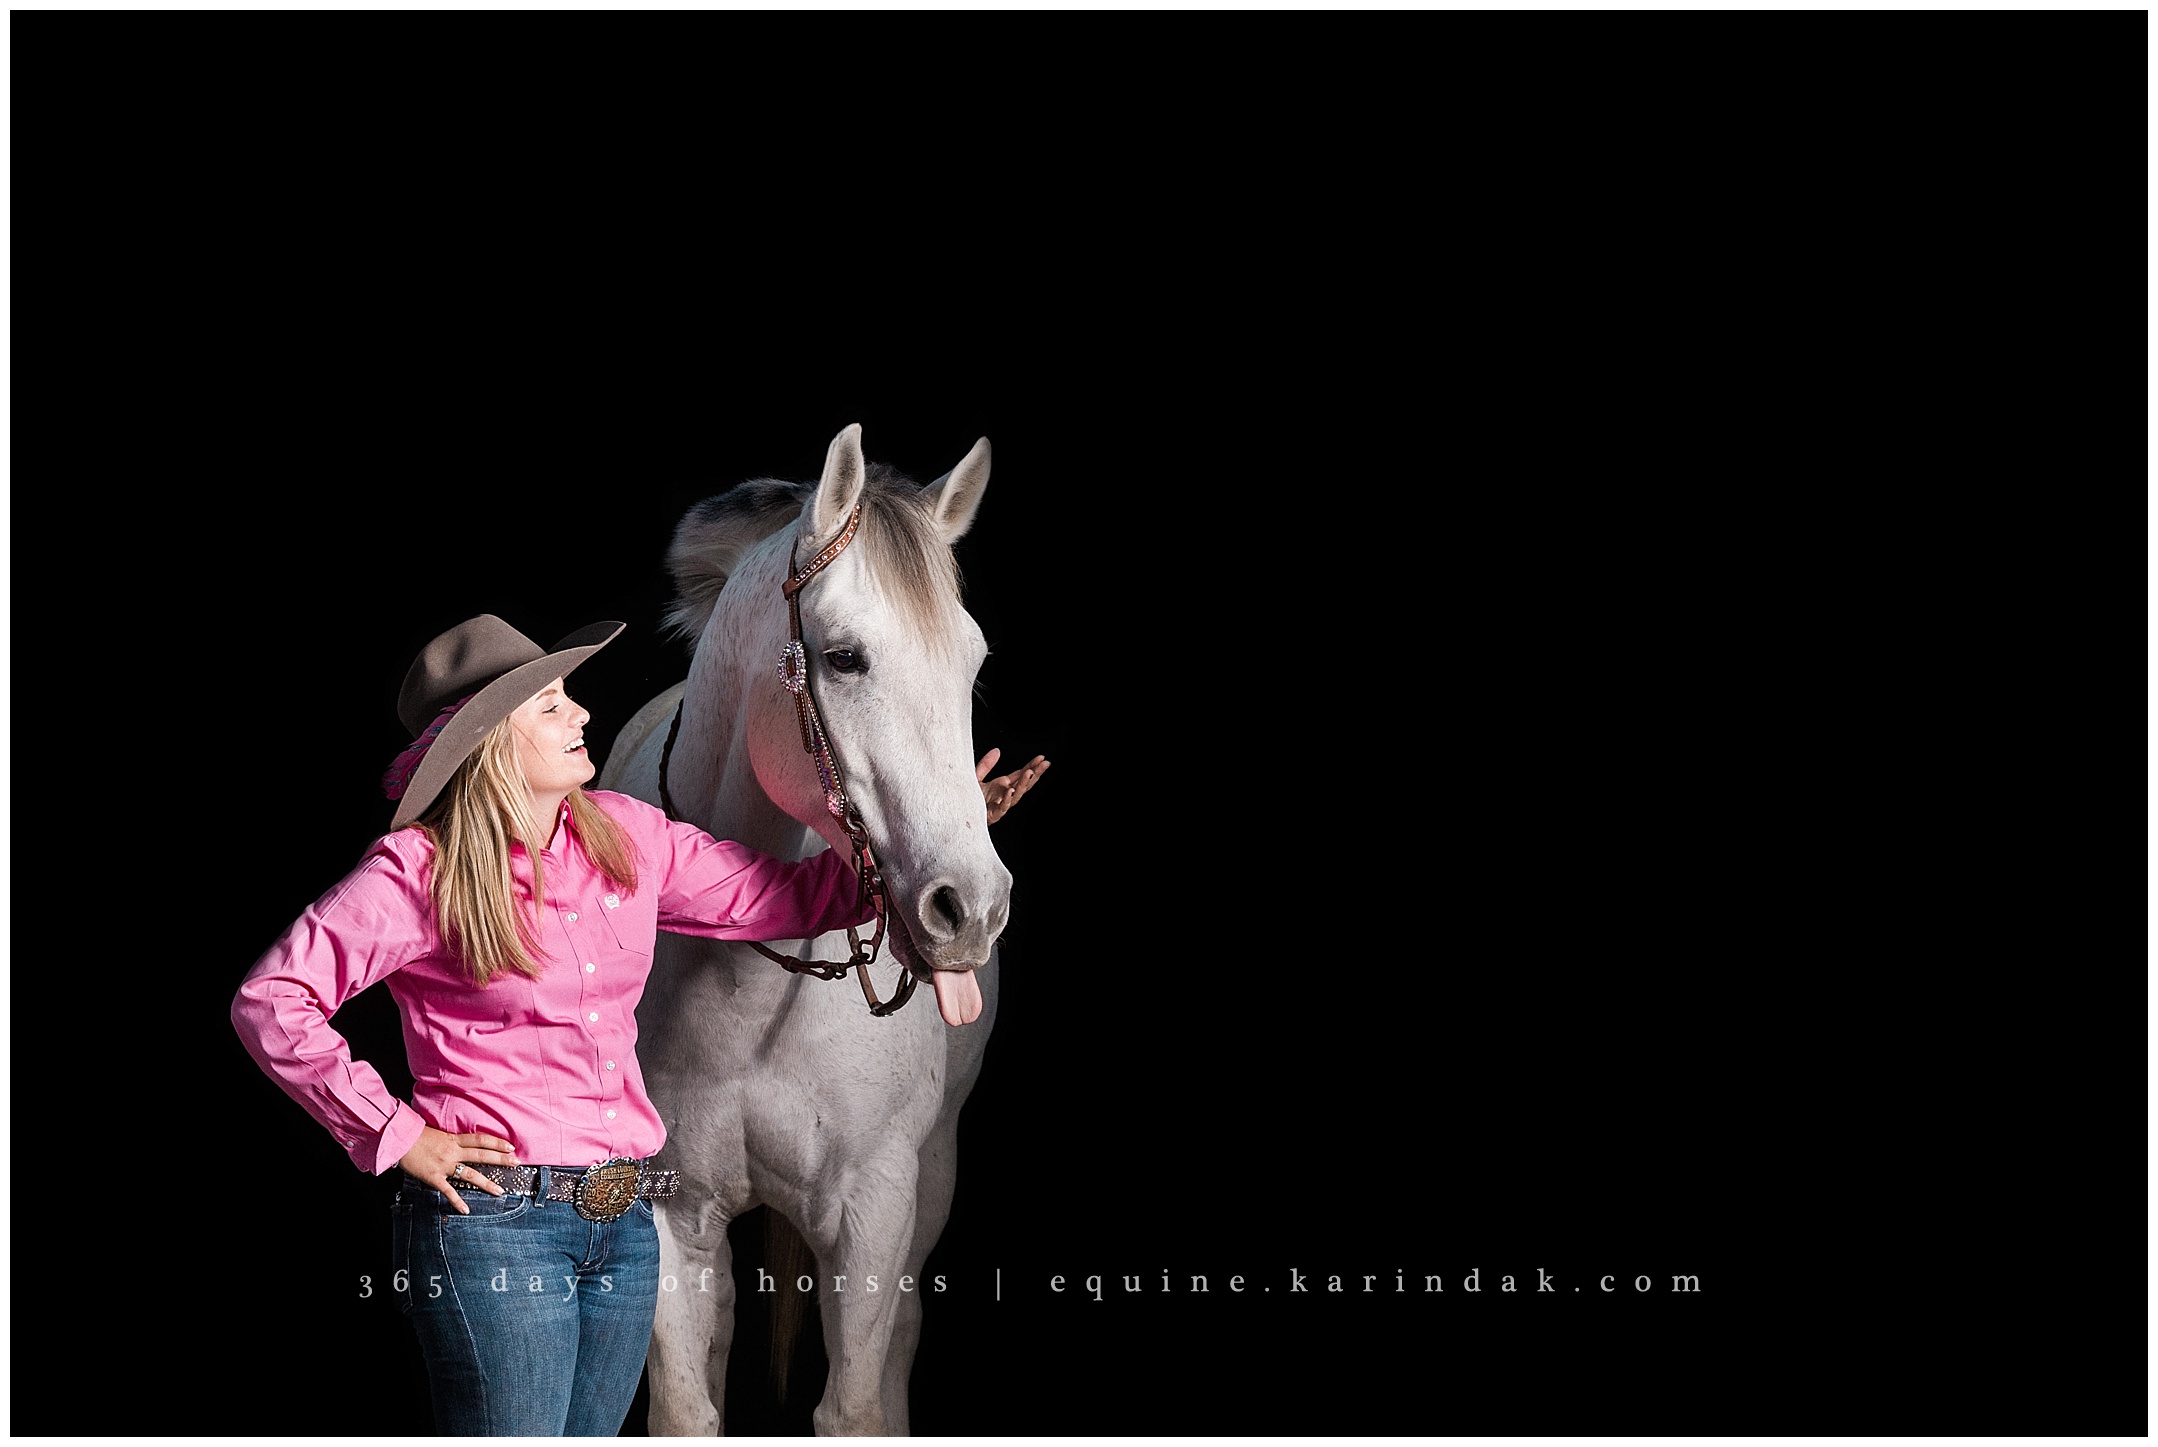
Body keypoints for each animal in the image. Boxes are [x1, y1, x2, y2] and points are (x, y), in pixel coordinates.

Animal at [597, 423, 1011, 1436]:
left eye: (972, 662)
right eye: (846, 657)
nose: (970, 907)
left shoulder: (874, 1207)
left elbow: (854, 1405)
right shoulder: (669, 1216)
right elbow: (685, 1407)